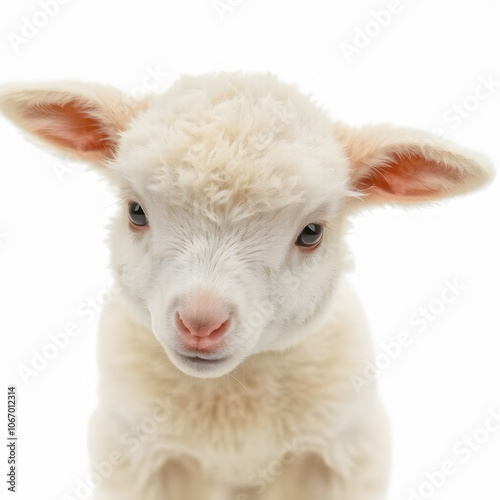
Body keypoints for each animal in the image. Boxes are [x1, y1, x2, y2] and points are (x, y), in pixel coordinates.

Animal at [0, 74, 492, 500]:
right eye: (136, 211)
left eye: (311, 233)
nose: (201, 321)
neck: (231, 401)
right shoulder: (127, 452)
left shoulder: (351, 449)